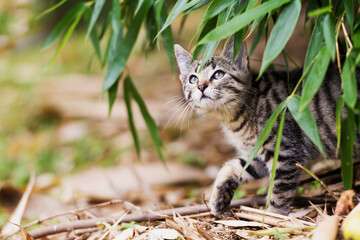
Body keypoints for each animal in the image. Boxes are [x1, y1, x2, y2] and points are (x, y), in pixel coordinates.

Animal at [173, 37, 358, 216]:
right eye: (193, 79)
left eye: (218, 74)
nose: (201, 86)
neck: (236, 118)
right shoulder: (256, 155)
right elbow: (234, 165)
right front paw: (219, 196)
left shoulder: (285, 151)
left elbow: (280, 191)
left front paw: (272, 216)